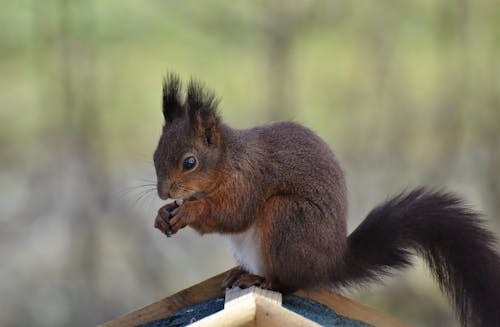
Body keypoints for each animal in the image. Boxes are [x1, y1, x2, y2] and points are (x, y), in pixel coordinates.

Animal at [152, 74, 500, 327]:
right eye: (155, 155)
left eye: (190, 162)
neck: (228, 159)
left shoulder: (250, 178)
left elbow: (233, 213)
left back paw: (262, 279)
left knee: (289, 282)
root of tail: (331, 262)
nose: (163, 192)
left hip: (287, 218)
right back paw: (240, 274)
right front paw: (162, 214)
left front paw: (189, 212)